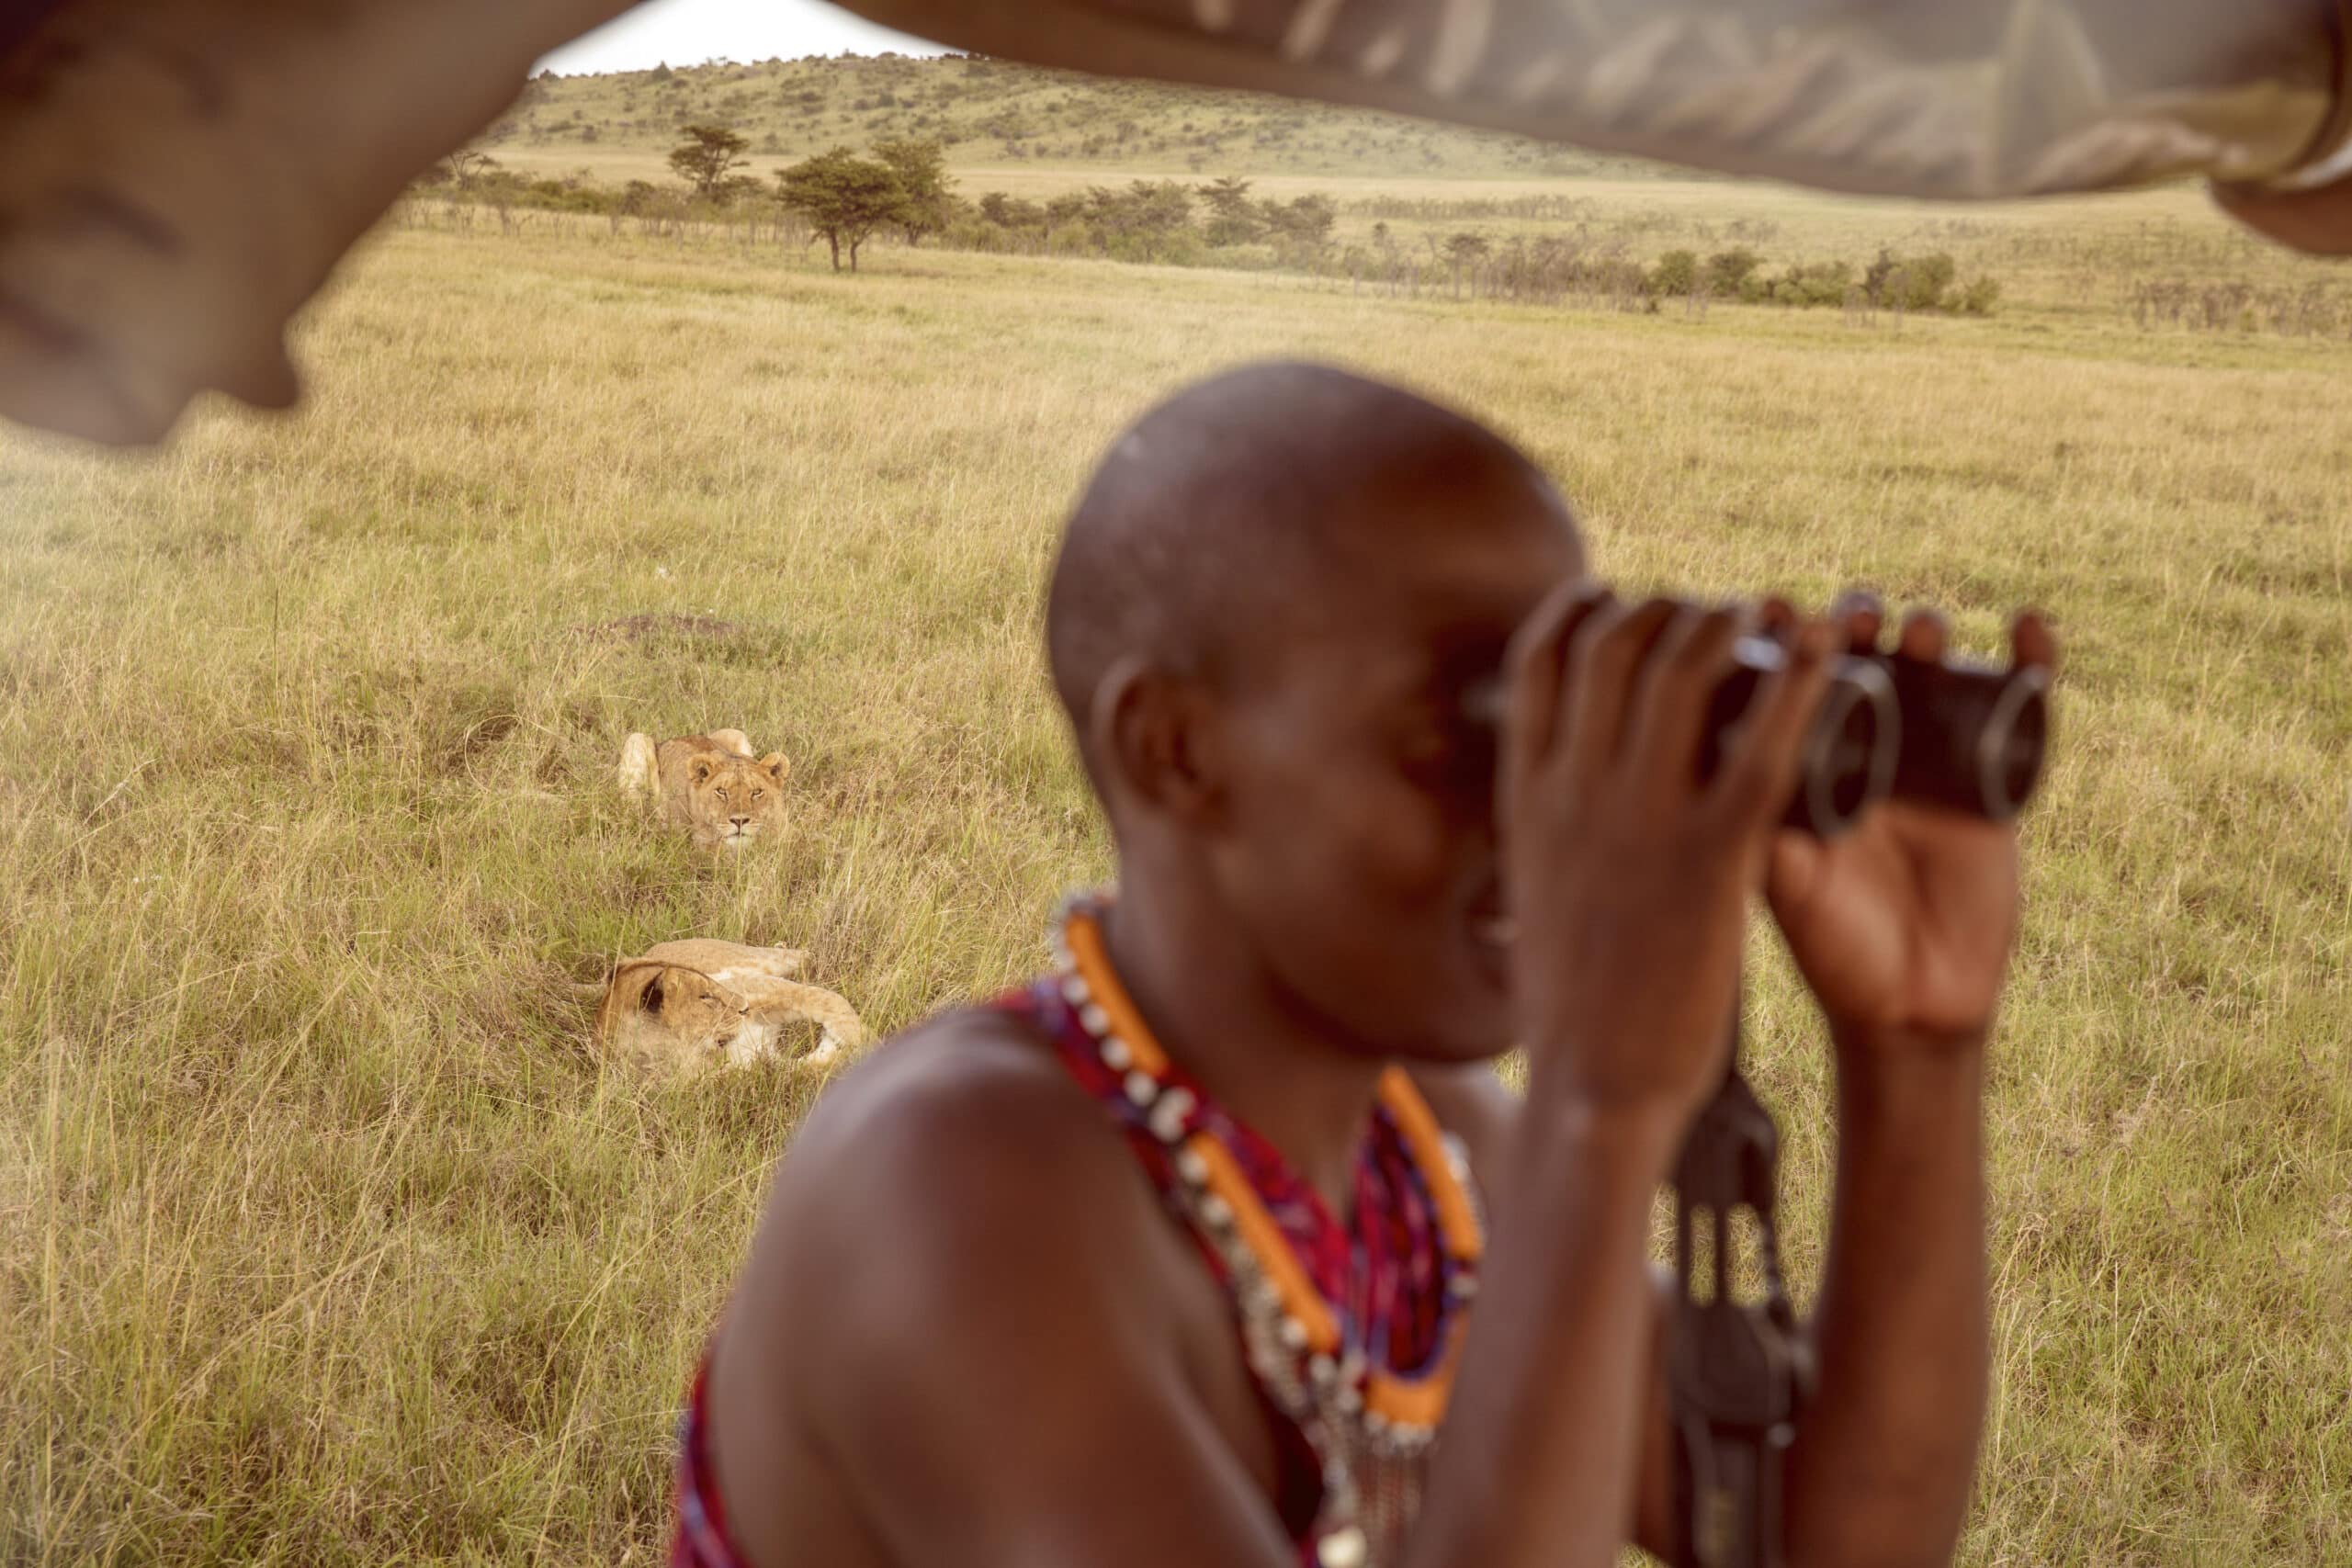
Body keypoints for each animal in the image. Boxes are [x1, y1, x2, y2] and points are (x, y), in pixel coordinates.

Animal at [593, 940, 870, 1072]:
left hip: (760, 959)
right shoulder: (756, 1067)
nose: (744, 1008)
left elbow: (827, 999)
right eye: (706, 997)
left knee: (802, 956)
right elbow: (807, 1070)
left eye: (710, 983)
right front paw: (834, 1052)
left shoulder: (759, 987)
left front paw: (858, 1036)